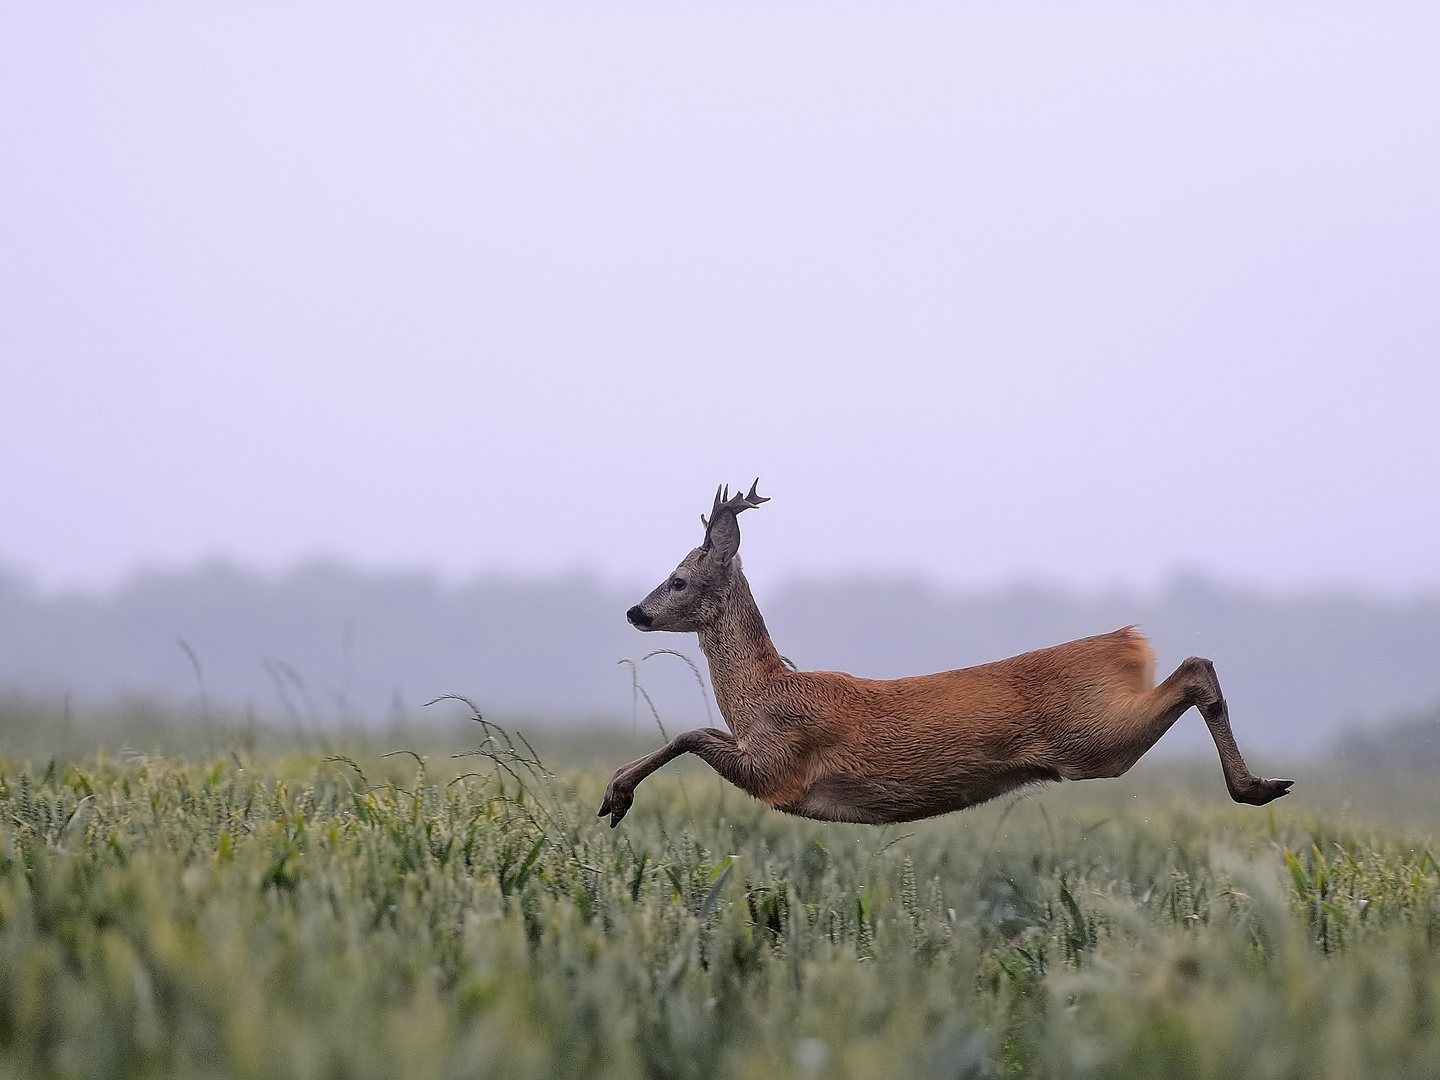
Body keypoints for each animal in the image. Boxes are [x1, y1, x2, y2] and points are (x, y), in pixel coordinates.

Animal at [596, 486, 1296, 835]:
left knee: (1195, 669)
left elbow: (690, 732)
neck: (763, 691)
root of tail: (1128, 643)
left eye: (679, 579)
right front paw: (613, 795)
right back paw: (1261, 785)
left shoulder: (779, 768)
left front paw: (615, 795)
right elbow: (693, 731)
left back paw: (1259, 787)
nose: (634, 612)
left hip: (1093, 740)